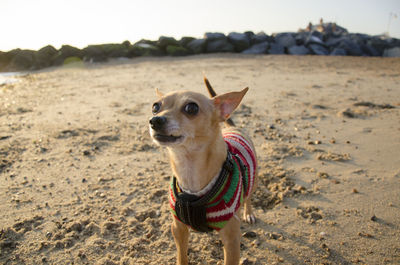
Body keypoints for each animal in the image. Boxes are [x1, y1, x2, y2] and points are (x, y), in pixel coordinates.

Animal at [148, 77, 258, 264]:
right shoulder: (178, 229)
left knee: (248, 197)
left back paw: (248, 213)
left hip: (252, 179)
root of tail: (233, 127)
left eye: (191, 108)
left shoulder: (232, 239)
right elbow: (182, 256)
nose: (155, 120)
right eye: (155, 106)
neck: (189, 168)